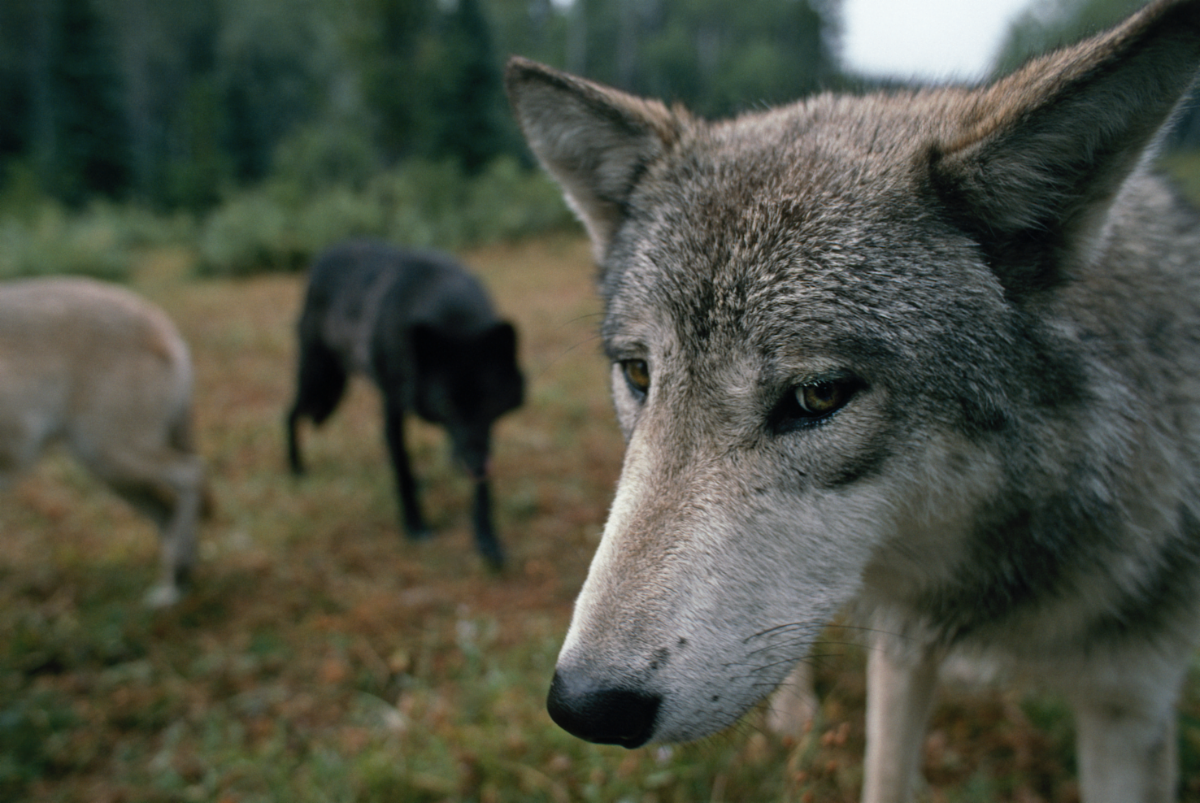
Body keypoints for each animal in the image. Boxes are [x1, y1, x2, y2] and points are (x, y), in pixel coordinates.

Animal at [0, 277, 206, 608]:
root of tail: (162, 323)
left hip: (114, 456)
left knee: (191, 474)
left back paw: (173, 584)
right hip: (110, 471)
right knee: (167, 511)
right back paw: (180, 575)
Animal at [286, 239, 524, 569]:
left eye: (489, 401)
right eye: (445, 404)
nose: (475, 466)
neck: (449, 310)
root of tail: (324, 255)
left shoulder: (484, 432)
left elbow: (481, 487)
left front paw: (487, 541)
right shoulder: (393, 412)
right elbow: (403, 469)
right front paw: (415, 525)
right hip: (318, 379)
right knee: (289, 414)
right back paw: (296, 469)